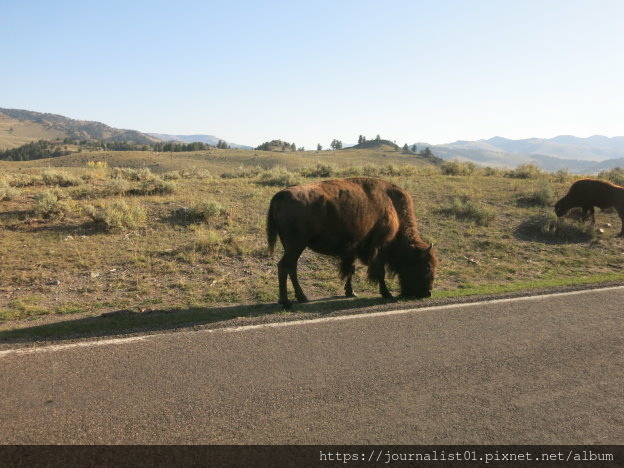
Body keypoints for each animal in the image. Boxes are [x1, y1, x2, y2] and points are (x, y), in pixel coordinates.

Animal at [266, 176, 436, 308]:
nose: (427, 293)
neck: (393, 206)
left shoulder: (353, 248)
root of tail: (280, 195)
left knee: (291, 267)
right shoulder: (379, 247)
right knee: (284, 266)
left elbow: (350, 269)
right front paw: (387, 293)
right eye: (427, 266)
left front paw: (351, 292)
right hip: (296, 245)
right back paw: (286, 302)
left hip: (292, 247)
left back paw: (301, 297)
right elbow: (379, 272)